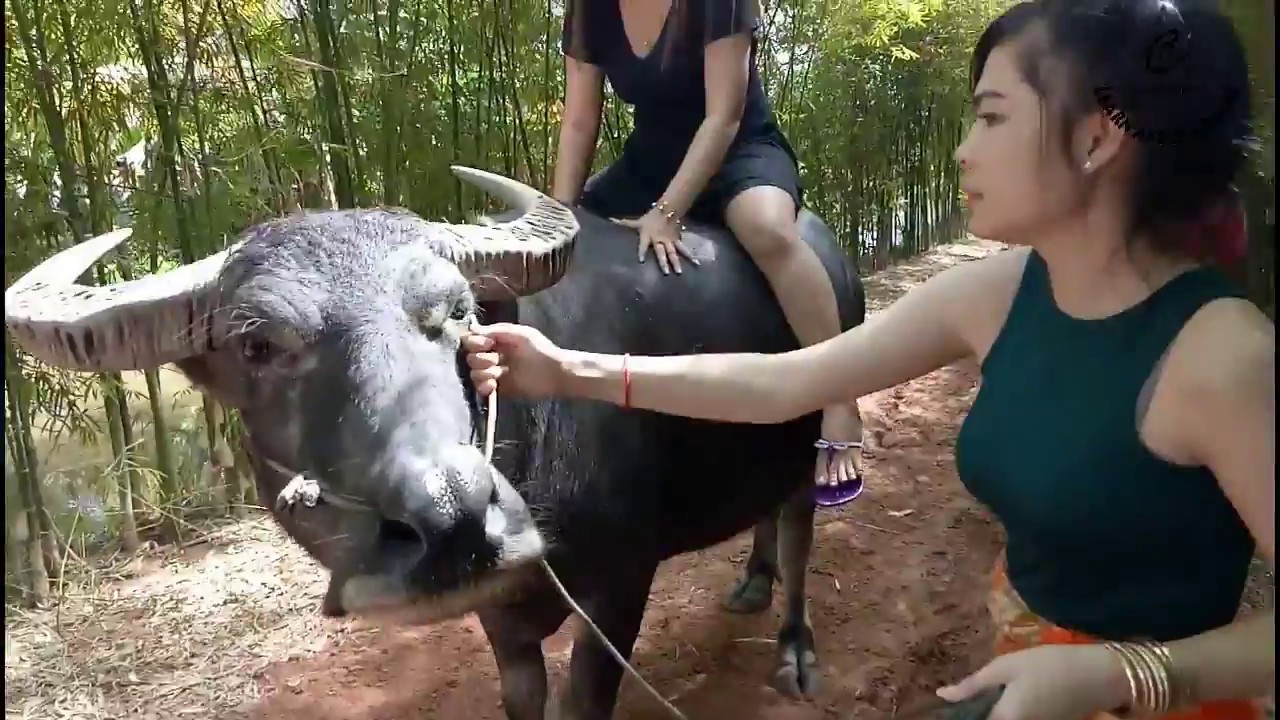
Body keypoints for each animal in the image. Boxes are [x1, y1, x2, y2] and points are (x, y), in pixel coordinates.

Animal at [4, 167, 867, 719]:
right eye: (256, 346)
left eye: (456, 311)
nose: (453, 517)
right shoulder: (497, 613)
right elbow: (522, 695)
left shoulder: (624, 582)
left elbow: (585, 700)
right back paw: (750, 581)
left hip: (811, 435)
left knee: (800, 529)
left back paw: (794, 646)